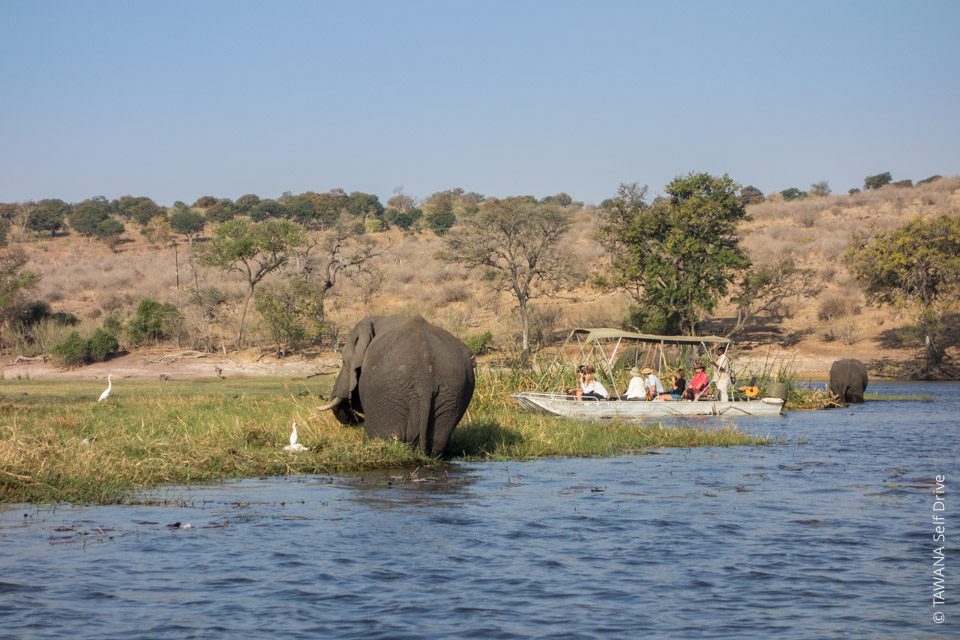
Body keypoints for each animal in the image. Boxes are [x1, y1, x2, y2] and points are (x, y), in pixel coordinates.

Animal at [318, 316, 476, 456]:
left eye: (344, 362)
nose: (359, 419)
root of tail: (425, 381)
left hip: (388, 394)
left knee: (382, 437)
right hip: (452, 394)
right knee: (437, 443)